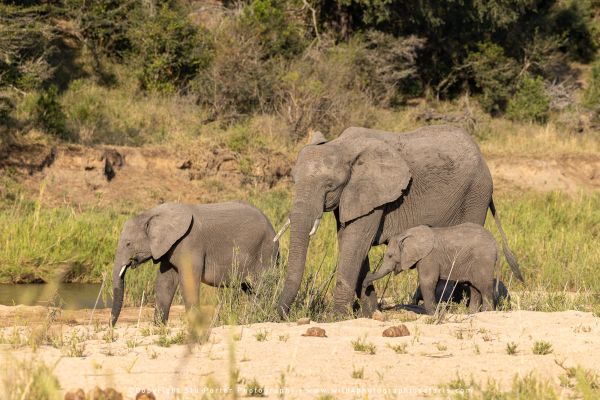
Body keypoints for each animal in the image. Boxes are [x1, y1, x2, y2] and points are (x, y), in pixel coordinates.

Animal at [111, 202, 278, 326]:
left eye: (128, 243)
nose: (111, 326)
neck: (152, 214)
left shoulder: (189, 242)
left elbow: (188, 280)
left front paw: (195, 326)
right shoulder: (169, 247)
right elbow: (165, 282)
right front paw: (159, 326)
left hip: (265, 251)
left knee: (262, 287)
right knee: (251, 289)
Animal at [366, 223, 502, 314]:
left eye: (389, 256)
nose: (365, 282)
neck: (406, 235)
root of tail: (496, 244)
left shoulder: (428, 257)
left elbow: (427, 281)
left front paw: (433, 314)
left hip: (483, 260)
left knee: (484, 287)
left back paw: (487, 312)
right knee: (474, 288)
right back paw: (472, 314)